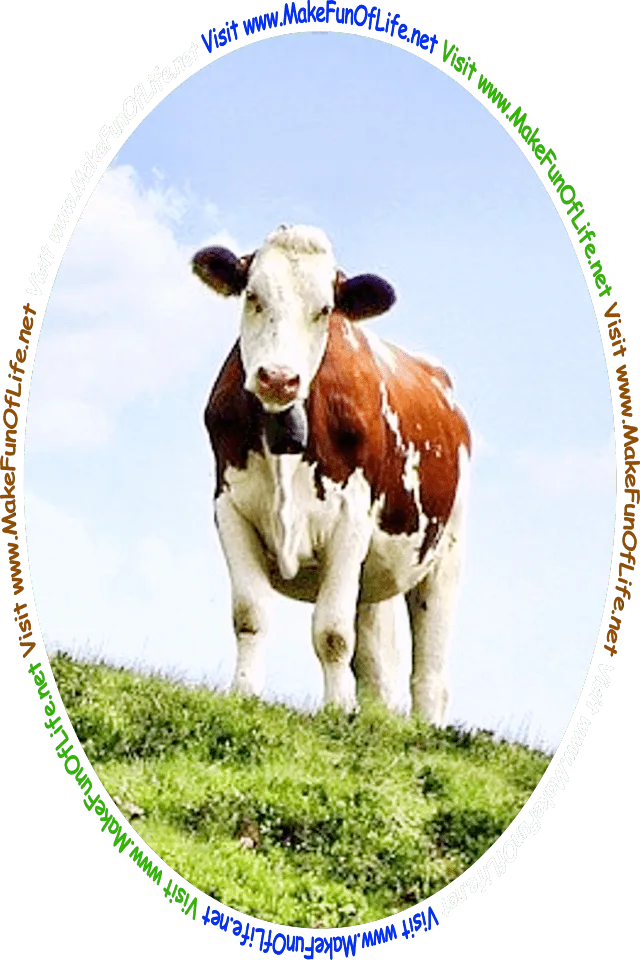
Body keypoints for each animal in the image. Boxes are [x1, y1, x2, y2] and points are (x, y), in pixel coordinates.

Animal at [193, 225, 471, 726]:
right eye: (252, 295)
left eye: (324, 309)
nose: (278, 378)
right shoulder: (230, 509)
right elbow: (250, 615)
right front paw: (244, 693)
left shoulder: (350, 521)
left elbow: (333, 632)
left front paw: (338, 708)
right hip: (375, 577)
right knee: (377, 664)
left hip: (445, 555)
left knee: (430, 673)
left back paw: (426, 727)